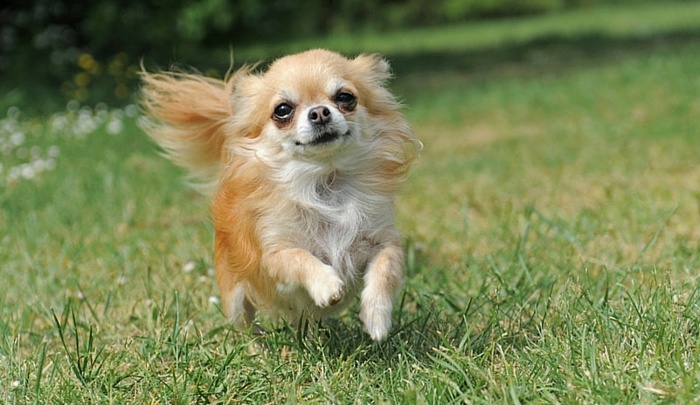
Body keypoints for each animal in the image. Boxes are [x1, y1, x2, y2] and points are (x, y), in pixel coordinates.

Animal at [139, 48, 418, 340]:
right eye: (283, 110)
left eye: (345, 97)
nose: (319, 112)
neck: (324, 181)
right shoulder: (274, 255)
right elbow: (300, 258)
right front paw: (327, 284)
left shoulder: (383, 241)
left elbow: (385, 268)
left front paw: (377, 318)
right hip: (235, 297)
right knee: (244, 323)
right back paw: (259, 342)